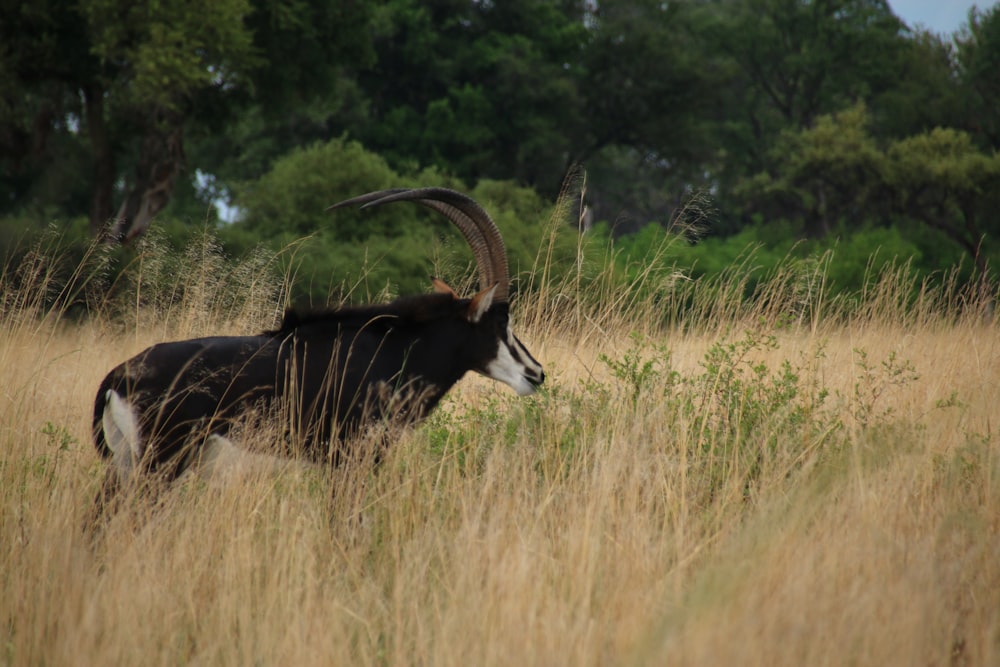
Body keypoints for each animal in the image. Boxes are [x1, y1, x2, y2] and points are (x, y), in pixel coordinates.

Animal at [92, 188, 548, 496]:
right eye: (500, 321)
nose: (536, 373)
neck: (390, 353)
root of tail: (117, 376)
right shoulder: (352, 460)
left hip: (127, 468)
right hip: (159, 465)